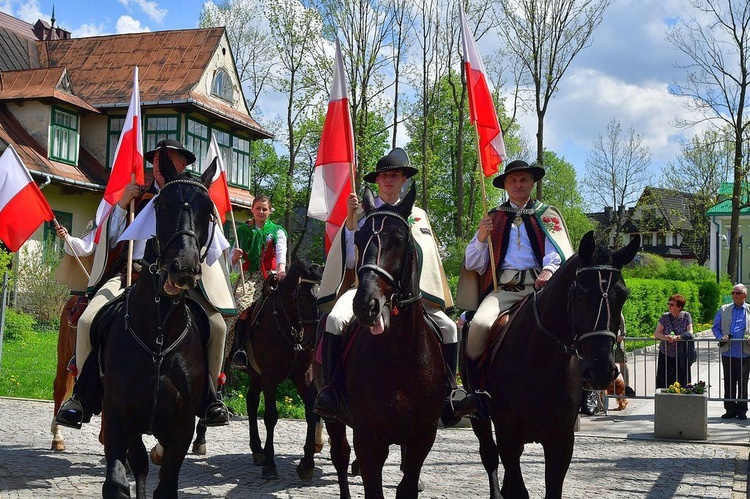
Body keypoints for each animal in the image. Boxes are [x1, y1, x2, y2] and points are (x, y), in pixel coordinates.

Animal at [98, 146, 219, 499]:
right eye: (161, 206)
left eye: (208, 212)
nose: (184, 267)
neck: (159, 336)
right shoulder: (117, 418)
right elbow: (117, 483)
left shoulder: (181, 427)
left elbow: (165, 486)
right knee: (138, 466)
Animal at [235, 258, 324, 480]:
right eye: (304, 295)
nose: (313, 339)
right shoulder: (270, 377)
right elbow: (270, 416)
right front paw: (270, 463)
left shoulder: (303, 376)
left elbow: (311, 413)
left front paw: (307, 463)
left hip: (256, 376)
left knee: (251, 402)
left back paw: (257, 450)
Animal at [324, 187, 444, 499]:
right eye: (359, 239)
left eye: (400, 240)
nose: (366, 304)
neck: (401, 356)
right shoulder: (368, 437)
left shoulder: (422, 436)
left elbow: (408, 486)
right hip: (333, 418)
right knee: (340, 455)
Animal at [470, 232, 640, 498]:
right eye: (580, 293)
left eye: (623, 295)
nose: (602, 370)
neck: (539, 361)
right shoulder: (508, 436)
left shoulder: (561, 441)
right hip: (481, 420)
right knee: (489, 455)